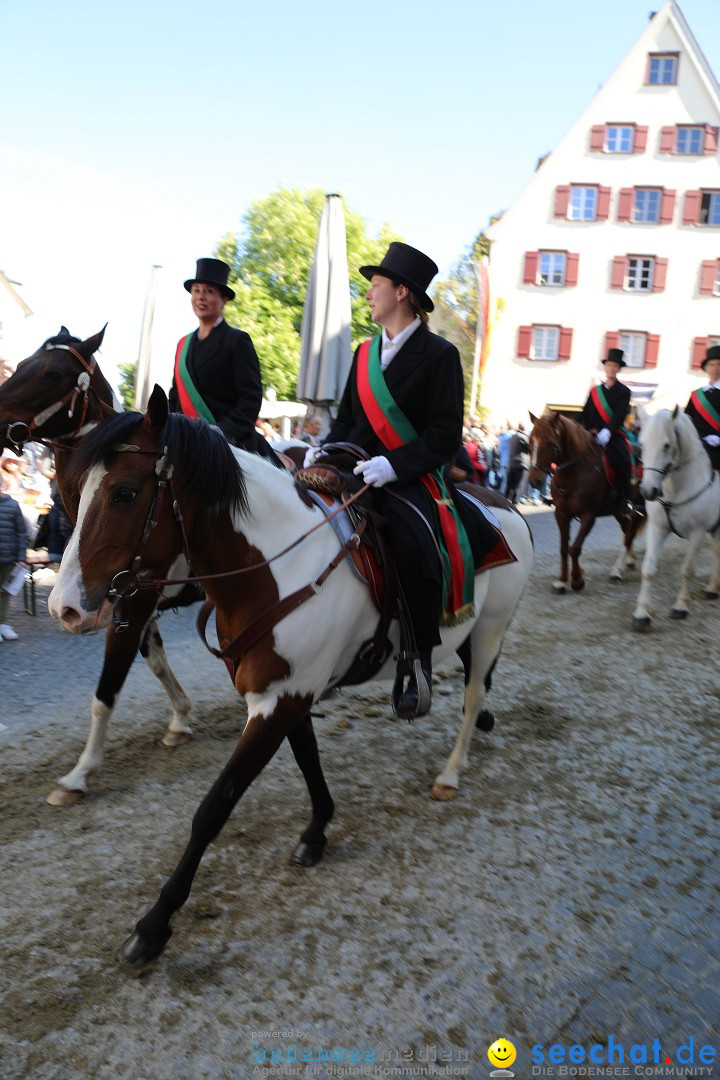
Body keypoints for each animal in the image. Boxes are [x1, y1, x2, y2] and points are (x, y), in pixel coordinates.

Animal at [0, 326, 199, 803]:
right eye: (21, 365)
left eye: (52, 373)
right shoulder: (130, 604)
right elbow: (155, 662)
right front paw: (181, 718)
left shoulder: (135, 602)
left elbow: (107, 688)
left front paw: (80, 772)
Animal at [49, 390, 535, 972]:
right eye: (74, 493)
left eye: (124, 492)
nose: (64, 607)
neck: (276, 569)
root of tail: (504, 504)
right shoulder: (285, 693)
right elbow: (307, 759)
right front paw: (318, 829)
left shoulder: (279, 702)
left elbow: (213, 809)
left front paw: (153, 925)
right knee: (477, 690)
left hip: (488, 629)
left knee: (474, 692)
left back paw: (452, 771)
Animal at [526, 406, 643, 591]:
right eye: (531, 441)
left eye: (551, 444)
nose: (534, 480)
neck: (575, 472)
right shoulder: (561, 514)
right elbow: (563, 547)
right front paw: (562, 579)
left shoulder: (588, 515)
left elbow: (575, 548)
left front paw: (576, 580)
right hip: (617, 510)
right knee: (627, 531)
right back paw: (627, 563)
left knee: (630, 535)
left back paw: (617, 571)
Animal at [630, 406, 720, 630]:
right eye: (642, 445)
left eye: (666, 445)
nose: (648, 491)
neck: (676, 488)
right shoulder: (657, 529)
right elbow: (648, 569)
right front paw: (641, 614)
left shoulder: (697, 534)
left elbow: (687, 570)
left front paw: (680, 606)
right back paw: (713, 588)